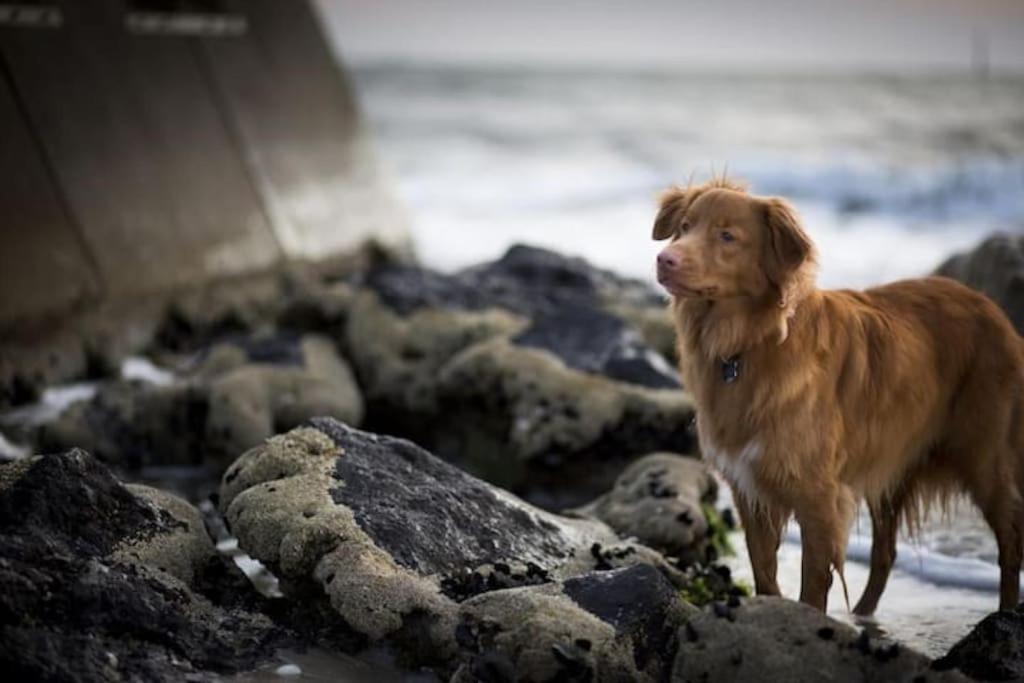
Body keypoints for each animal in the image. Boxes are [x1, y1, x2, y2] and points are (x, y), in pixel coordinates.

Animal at [651, 178, 1024, 614]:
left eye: (726, 236)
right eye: (684, 227)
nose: (665, 259)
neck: (747, 344)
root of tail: (991, 308)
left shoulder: (818, 496)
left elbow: (813, 584)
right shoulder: (749, 489)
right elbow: (764, 569)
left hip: (985, 458)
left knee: (1010, 541)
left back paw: (1005, 611)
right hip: (893, 462)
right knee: (885, 551)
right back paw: (862, 616)